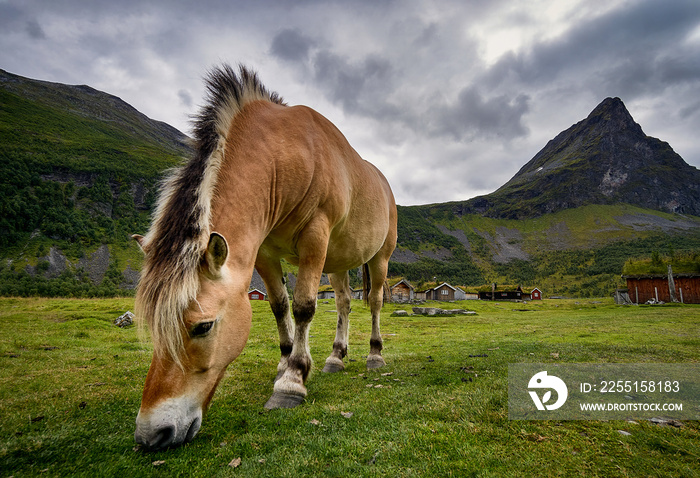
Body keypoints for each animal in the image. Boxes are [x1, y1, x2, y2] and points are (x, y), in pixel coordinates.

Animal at [131, 65, 394, 450]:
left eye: (203, 326)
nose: (152, 434)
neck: (287, 154)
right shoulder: (265, 252)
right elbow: (279, 306)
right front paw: (287, 363)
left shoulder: (315, 237)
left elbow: (303, 306)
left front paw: (292, 382)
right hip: (338, 263)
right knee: (344, 303)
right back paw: (336, 356)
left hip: (379, 259)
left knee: (373, 301)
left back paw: (374, 355)